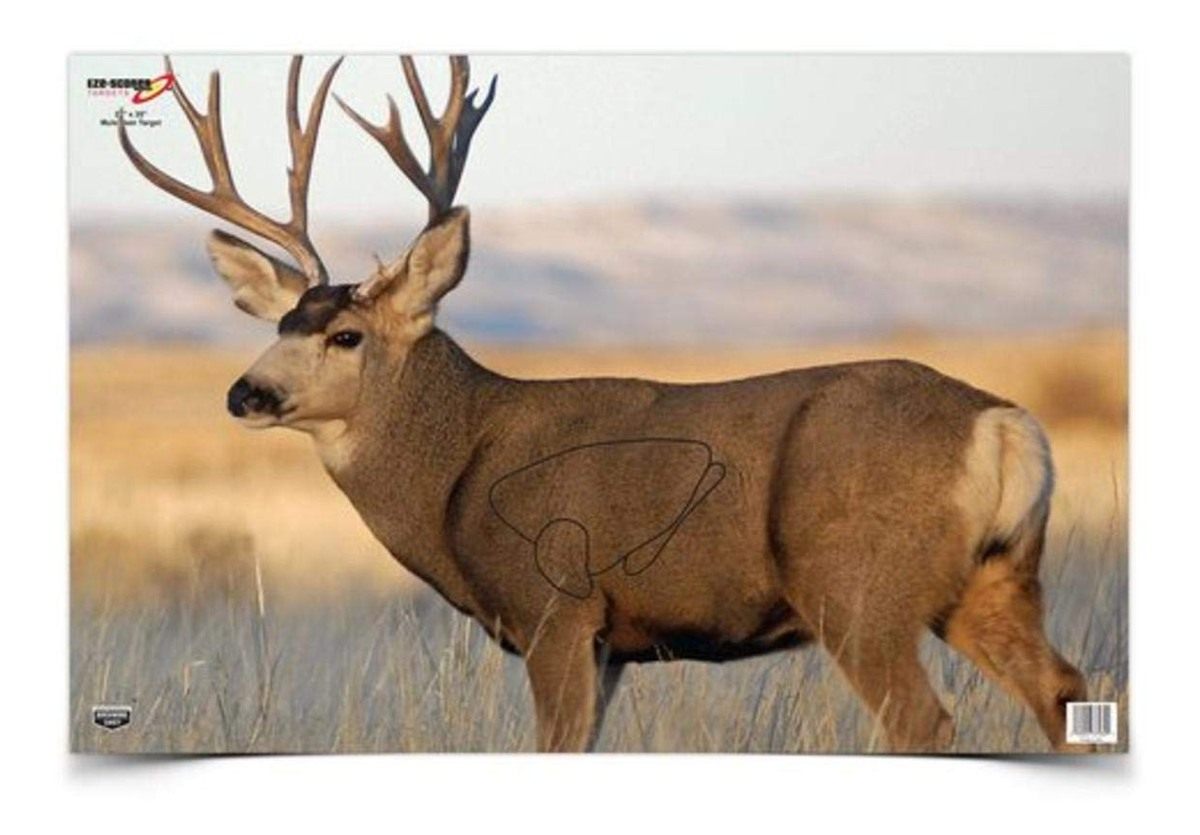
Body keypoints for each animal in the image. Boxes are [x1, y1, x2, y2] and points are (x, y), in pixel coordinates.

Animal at [118, 54, 1089, 753]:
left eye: (347, 336)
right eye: (283, 320)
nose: (246, 391)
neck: (457, 471)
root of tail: (1003, 424)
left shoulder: (556, 606)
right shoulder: (616, 643)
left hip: (857, 587)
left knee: (926, 720)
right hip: (991, 579)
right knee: (1067, 690)